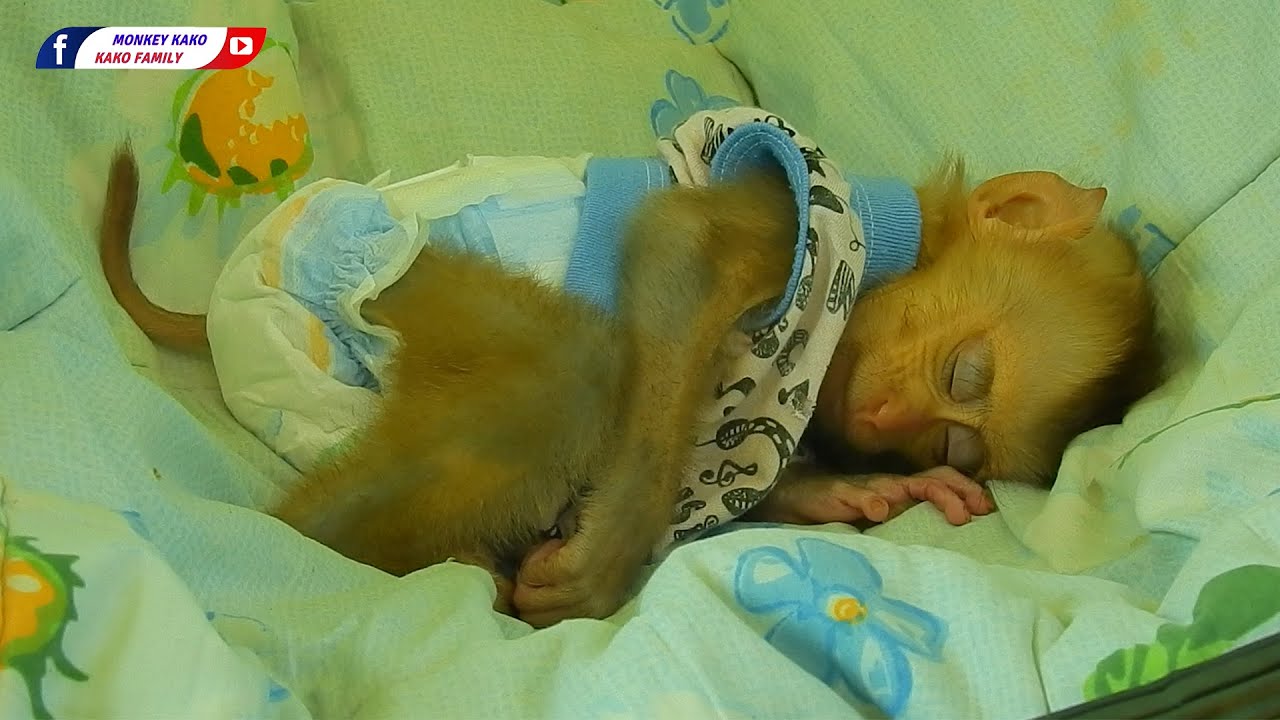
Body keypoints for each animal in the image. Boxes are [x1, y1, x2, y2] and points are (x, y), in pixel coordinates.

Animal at [99, 140, 1157, 628]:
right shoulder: (809, 207)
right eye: (965, 371)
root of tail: (232, 300)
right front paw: (606, 562)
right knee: (575, 372)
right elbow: (682, 248)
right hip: (366, 267)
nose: (893, 416)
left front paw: (856, 490)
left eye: (953, 439)